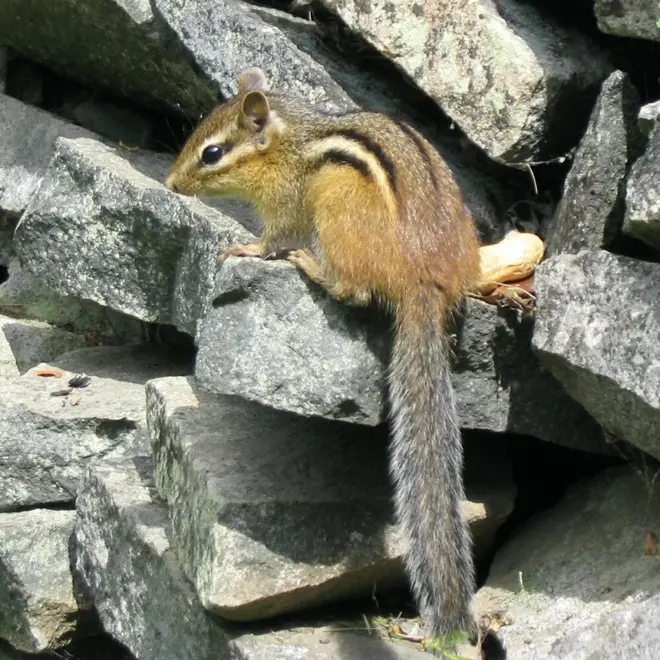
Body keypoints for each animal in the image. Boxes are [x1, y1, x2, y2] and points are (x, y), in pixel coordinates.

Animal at [166, 68, 481, 646]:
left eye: (212, 153)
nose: (173, 185)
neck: (288, 142)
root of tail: (423, 280)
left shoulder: (289, 203)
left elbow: (272, 237)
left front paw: (246, 248)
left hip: (335, 211)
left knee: (353, 290)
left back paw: (311, 266)